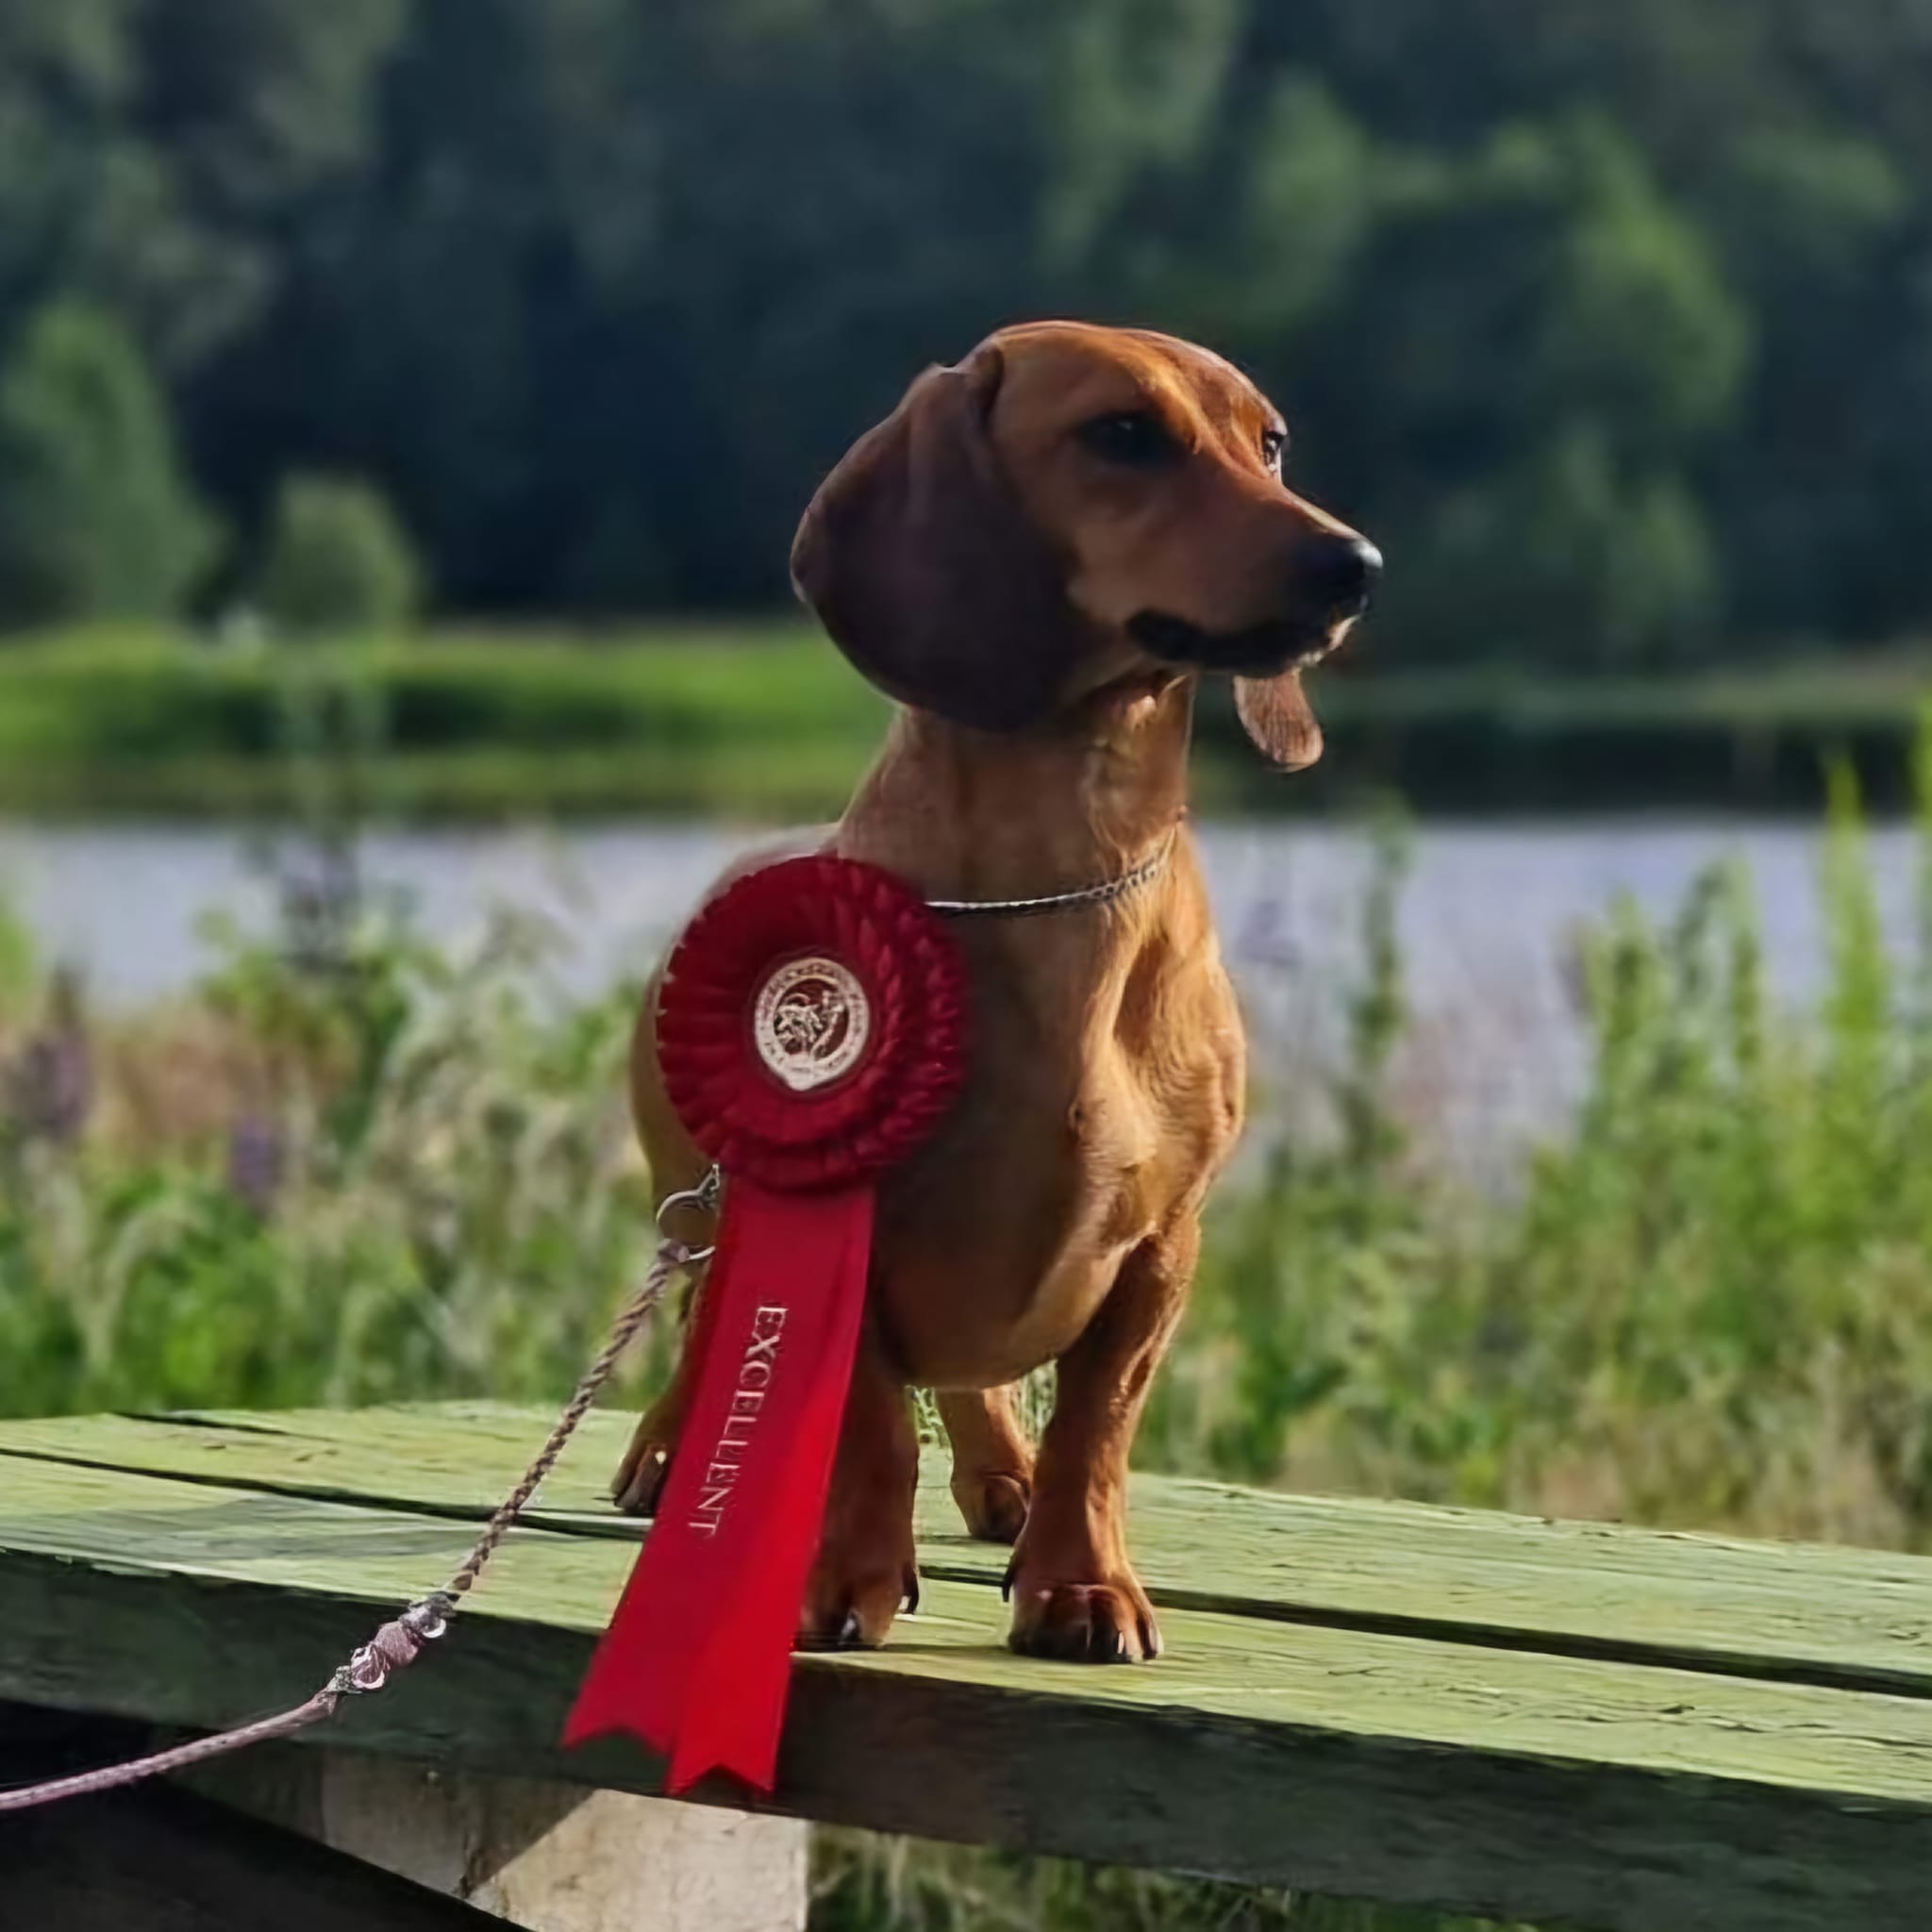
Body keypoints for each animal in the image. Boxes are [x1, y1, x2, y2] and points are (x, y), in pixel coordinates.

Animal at [610, 316, 1383, 1661]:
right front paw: (846, 1577)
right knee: (709, 1334)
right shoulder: (845, 1227)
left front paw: (1080, 1581)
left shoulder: (1159, 1249)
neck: (1068, 869)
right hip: (701, 1207)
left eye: (1270, 440)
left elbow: (1096, 1429)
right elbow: (868, 1418)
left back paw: (1001, 1473)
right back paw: (671, 1450)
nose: (1354, 564)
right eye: (1122, 433)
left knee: (974, 1387)